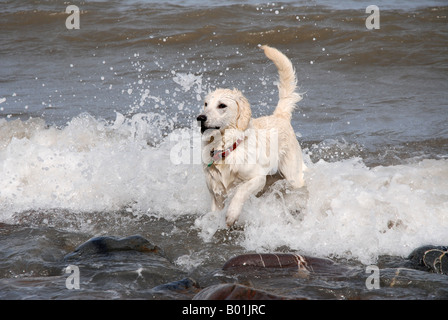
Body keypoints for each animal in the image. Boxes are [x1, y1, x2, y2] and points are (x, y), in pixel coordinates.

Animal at [198, 45, 306, 228]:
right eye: (206, 104)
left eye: (222, 105)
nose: (200, 118)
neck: (225, 148)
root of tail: (280, 116)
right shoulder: (216, 192)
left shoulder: (257, 178)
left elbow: (241, 191)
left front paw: (232, 215)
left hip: (293, 175)